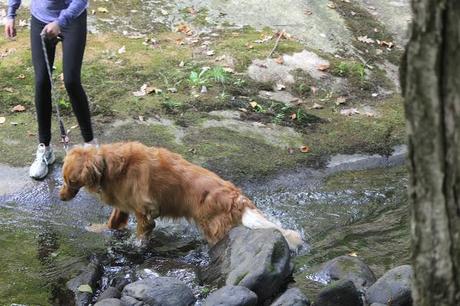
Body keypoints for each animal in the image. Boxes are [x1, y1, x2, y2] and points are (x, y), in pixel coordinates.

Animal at [59, 142, 304, 251]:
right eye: (64, 179)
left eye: (71, 181)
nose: (60, 197)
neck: (107, 165)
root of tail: (237, 198)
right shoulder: (124, 204)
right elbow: (112, 222)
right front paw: (98, 229)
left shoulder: (145, 210)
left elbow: (142, 232)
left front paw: (135, 245)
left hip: (213, 228)